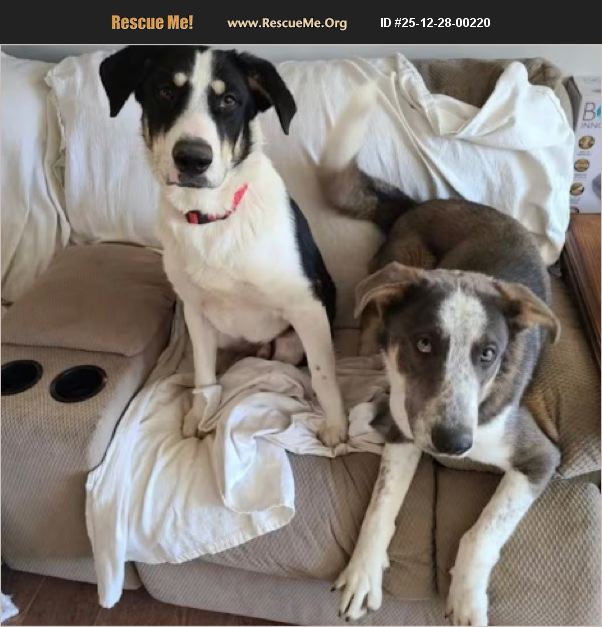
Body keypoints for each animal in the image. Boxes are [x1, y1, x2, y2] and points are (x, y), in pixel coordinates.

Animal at [99, 45, 347, 446]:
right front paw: (199, 415)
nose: (192, 158)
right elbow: (204, 376)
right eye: (165, 92)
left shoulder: (307, 307)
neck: (212, 219)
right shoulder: (196, 312)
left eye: (229, 100)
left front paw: (336, 426)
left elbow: (324, 373)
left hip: (292, 338)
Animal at [319, 85, 561, 624]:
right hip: (393, 277)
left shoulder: (540, 459)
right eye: (424, 343)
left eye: (489, 354)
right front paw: (363, 572)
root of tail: (417, 203)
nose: (452, 444)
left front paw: (467, 598)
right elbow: (379, 508)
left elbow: (481, 532)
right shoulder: (406, 434)